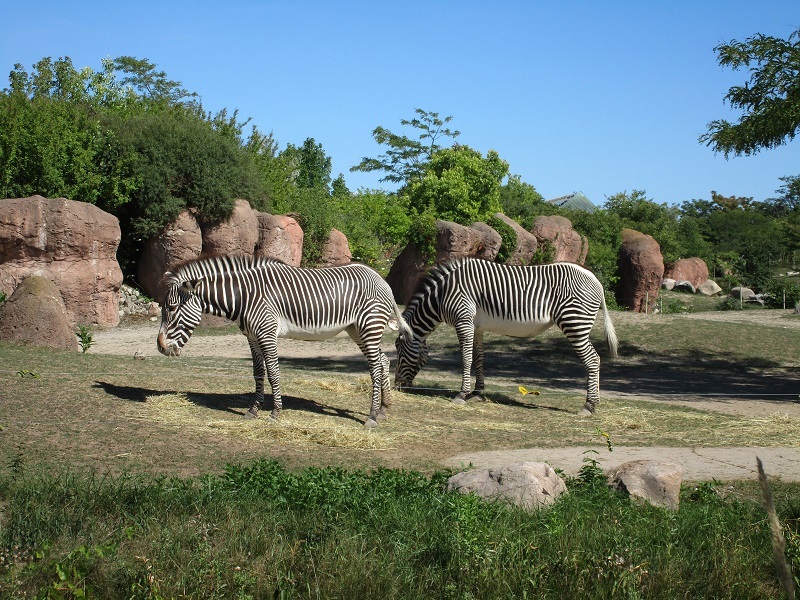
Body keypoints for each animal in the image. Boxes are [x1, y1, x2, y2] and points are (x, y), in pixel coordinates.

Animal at [155, 255, 412, 428]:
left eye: (172, 308)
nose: (161, 347)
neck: (245, 296)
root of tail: (382, 280)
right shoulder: (252, 337)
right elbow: (258, 373)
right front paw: (253, 410)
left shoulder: (267, 334)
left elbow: (274, 373)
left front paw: (276, 412)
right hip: (357, 330)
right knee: (382, 362)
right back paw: (384, 409)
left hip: (369, 326)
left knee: (375, 367)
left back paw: (371, 415)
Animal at [394, 258, 620, 418]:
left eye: (399, 351)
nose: (398, 386)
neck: (442, 295)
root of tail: (595, 280)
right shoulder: (477, 326)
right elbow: (479, 358)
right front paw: (478, 393)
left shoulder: (463, 320)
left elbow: (466, 358)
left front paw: (461, 394)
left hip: (574, 322)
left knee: (593, 360)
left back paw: (589, 405)